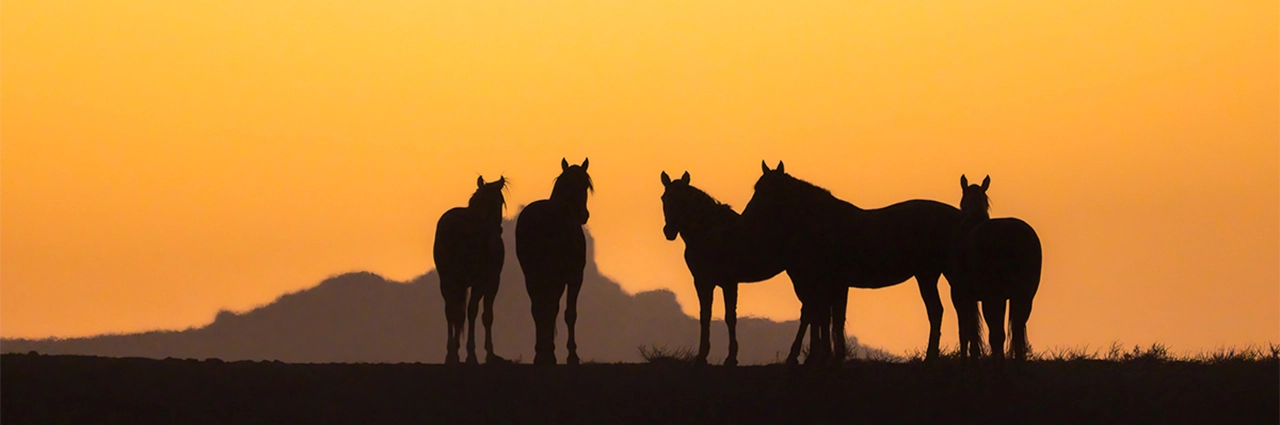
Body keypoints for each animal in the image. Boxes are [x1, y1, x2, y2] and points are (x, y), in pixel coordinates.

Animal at [433, 175, 509, 364]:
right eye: (500, 201)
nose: (499, 230)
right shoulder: (490, 281)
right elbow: (484, 315)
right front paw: (485, 354)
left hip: (446, 280)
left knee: (450, 310)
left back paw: (451, 353)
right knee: (462, 312)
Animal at [516, 158, 593, 365]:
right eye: (585, 186)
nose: (584, 215)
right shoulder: (574, 277)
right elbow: (568, 313)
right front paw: (571, 355)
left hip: (531, 275)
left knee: (537, 308)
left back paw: (540, 354)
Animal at [660, 171, 803, 366]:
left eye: (683, 199)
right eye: (664, 198)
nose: (669, 231)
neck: (707, 231)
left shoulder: (728, 282)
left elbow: (730, 317)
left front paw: (731, 357)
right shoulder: (702, 281)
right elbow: (705, 315)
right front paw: (702, 356)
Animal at [741, 161, 964, 364]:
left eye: (769, 191)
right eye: (756, 188)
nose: (745, 218)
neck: (824, 225)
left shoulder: (833, 283)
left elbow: (831, 318)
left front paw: (829, 356)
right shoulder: (833, 284)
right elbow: (830, 318)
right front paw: (829, 356)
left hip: (933, 274)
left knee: (939, 310)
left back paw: (931, 357)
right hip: (930, 274)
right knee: (940, 310)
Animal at [950, 175, 1042, 362]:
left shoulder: (960, 294)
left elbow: (966, 331)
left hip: (993, 297)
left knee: (997, 334)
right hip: (1024, 295)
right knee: (1017, 331)